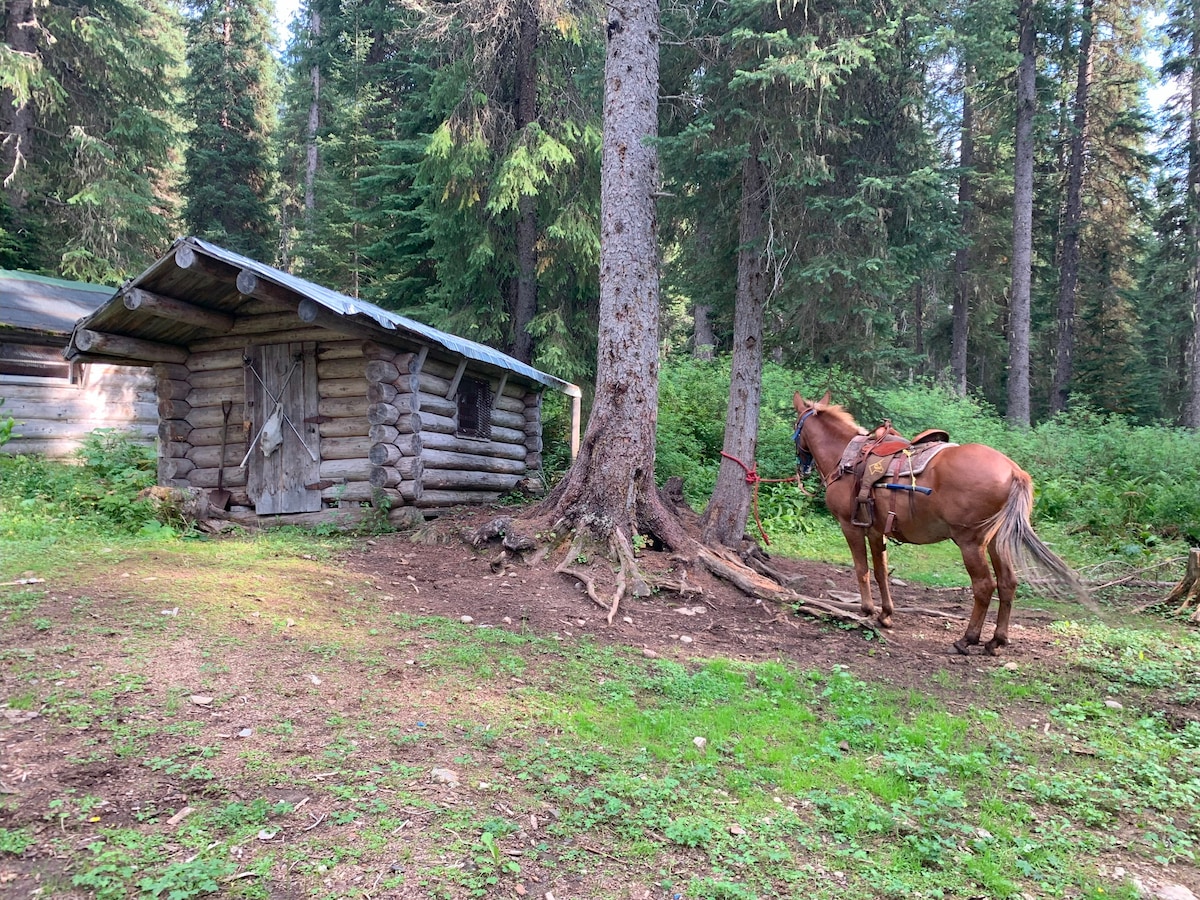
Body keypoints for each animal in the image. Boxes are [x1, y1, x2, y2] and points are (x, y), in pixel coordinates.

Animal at [792, 393, 1094, 657]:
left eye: (796, 426)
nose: (803, 466)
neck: (847, 457)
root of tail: (1013, 471)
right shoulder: (877, 530)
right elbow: (880, 572)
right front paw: (886, 615)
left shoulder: (850, 526)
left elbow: (861, 569)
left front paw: (867, 610)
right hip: (997, 541)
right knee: (1008, 583)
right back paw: (996, 641)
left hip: (970, 542)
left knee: (984, 586)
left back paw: (967, 639)